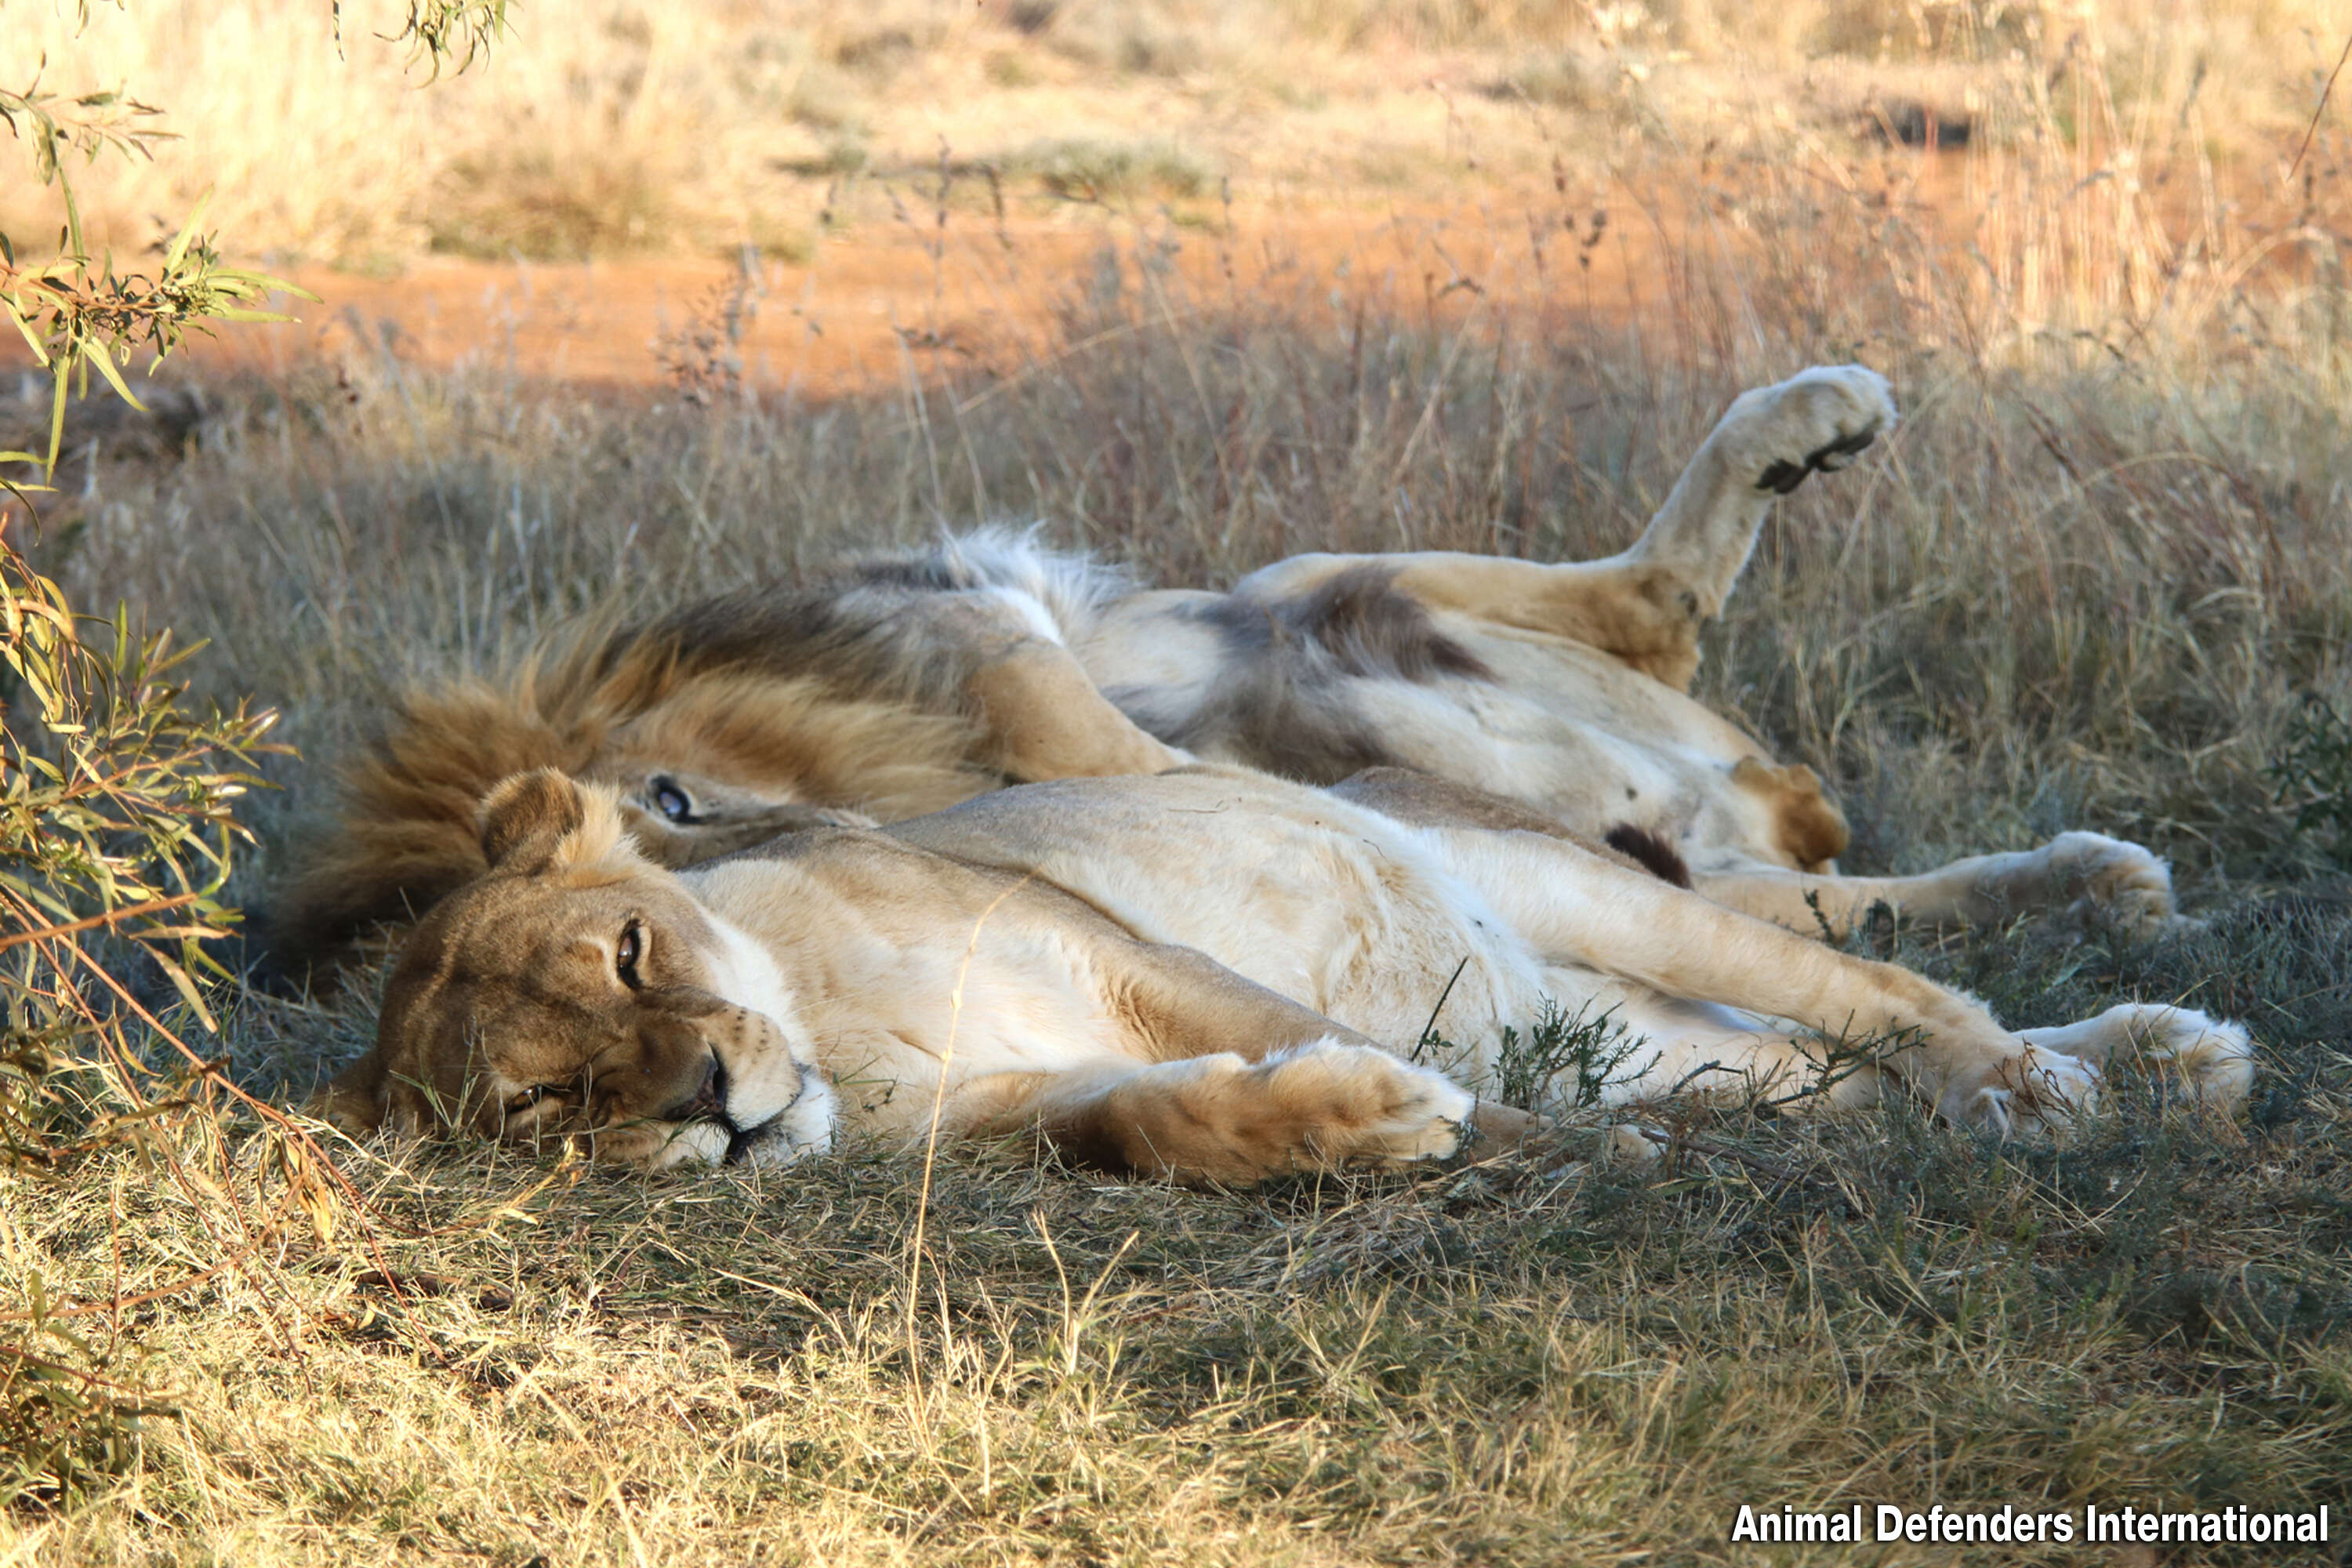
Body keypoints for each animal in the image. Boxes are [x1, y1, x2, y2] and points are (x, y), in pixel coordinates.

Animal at [275, 368, 2183, 982]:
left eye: (672, 799)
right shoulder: (1062, 702)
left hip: (1314, 582)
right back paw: (2090, 878)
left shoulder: (1036, 619)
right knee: (1796, 868)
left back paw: (1813, 425)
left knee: (1654, 618)